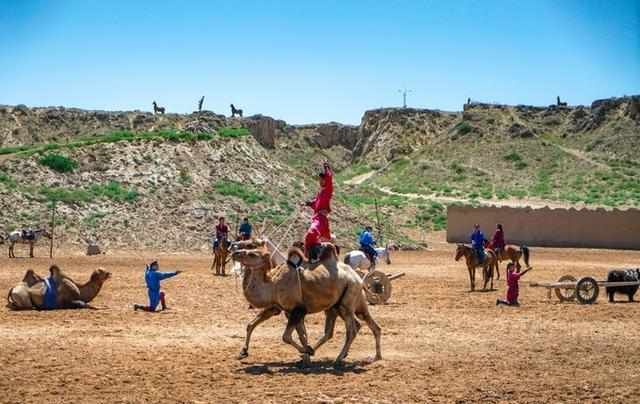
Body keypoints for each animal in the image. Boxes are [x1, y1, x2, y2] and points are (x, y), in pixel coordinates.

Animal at [232, 240, 380, 366]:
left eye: (251, 251)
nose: (234, 251)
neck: (272, 284)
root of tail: (357, 277)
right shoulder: (289, 310)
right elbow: (301, 334)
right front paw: (306, 355)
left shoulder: (297, 309)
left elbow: (287, 336)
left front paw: (307, 353)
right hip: (343, 305)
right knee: (364, 324)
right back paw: (375, 357)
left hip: (347, 301)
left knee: (351, 330)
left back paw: (338, 359)